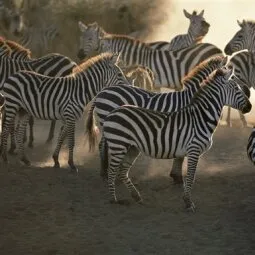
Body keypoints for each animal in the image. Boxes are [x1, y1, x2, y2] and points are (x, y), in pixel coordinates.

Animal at [0, 51, 129, 171]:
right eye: (119, 74)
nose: (128, 87)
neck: (81, 91)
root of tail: (14, 75)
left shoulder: (68, 117)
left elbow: (61, 137)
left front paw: (56, 160)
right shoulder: (70, 115)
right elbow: (71, 141)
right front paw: (71, 164)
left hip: (24, 110)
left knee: (19, 132)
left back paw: (24, 159)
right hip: (12, 105)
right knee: (6, 129)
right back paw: (5, 158)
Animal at [76, 21, 222, 90]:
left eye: (90, 39)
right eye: (81, 38)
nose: (79, 55)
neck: (136, 57)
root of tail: (217, 49)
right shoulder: (155, 84)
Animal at [85, 56, 229, 183]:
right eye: (231, 79)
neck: (192, 98)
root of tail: (102, 92)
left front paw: (175, 175)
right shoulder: (185, 127)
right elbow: (181, 156)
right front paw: (177, 177)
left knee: (104, 145)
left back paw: (106, 172)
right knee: (105, 145)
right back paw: (105, 173)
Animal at [99, 64, 251, 211]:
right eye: (236, 88)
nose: (250, 107)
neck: (201, 117)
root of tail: (114, 111)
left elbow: (185, 170)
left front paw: (182, 191)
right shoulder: (194, 149)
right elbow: (190, 177)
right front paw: (188, 202)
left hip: (132, 147)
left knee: (122, 171)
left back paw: (136, 196)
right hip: (118, 145)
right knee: (112, 171)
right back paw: (113, 199)